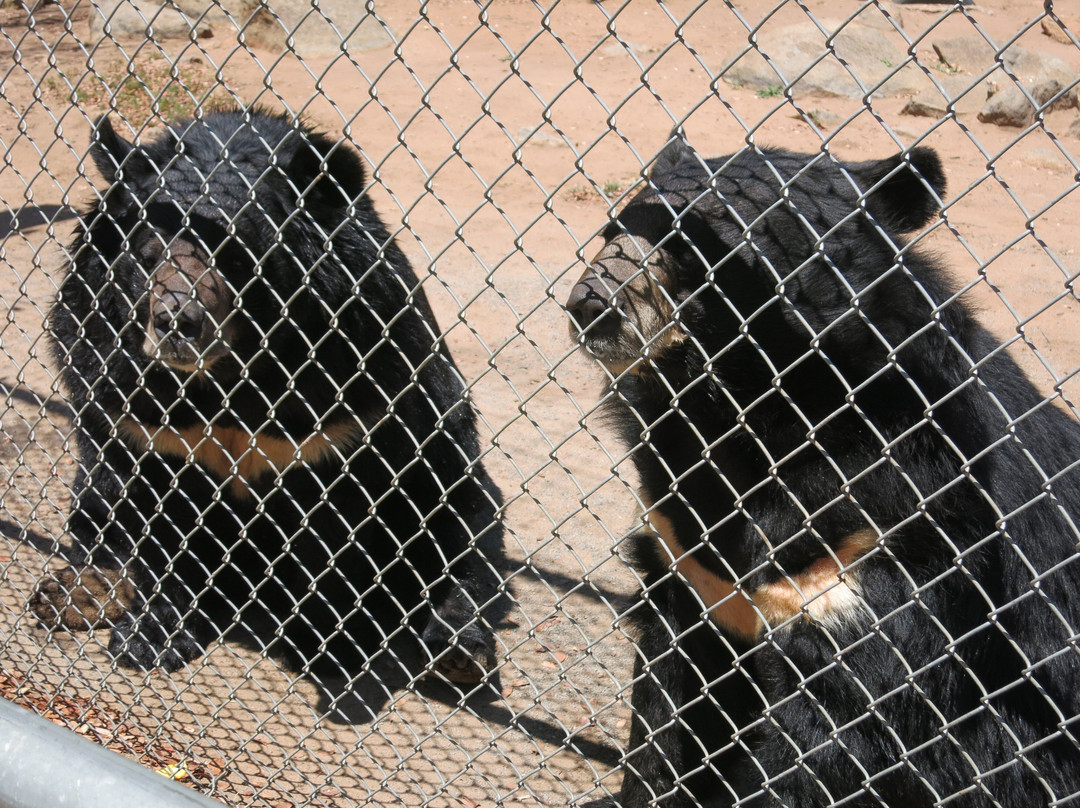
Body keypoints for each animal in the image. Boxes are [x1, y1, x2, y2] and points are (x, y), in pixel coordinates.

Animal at [34, 108, 505, 683]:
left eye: (236, 260)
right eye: (147, 256)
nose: (177, 323)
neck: (227, 375)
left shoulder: (352, 390)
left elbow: (338, 531)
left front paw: (326, 645)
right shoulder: (115, 381)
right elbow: (154, 515)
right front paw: (150, 637)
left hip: (449, 453)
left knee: (460, 533)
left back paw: (456, 650)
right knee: (96, 510)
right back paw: (75, 594)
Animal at [567, 135, 1080, 806]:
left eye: (693, 247)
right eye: (612, 232)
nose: (592, 300)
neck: (742, 408)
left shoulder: (891, 542)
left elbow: (832, 736)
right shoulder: (686, 560)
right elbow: (666, 702)